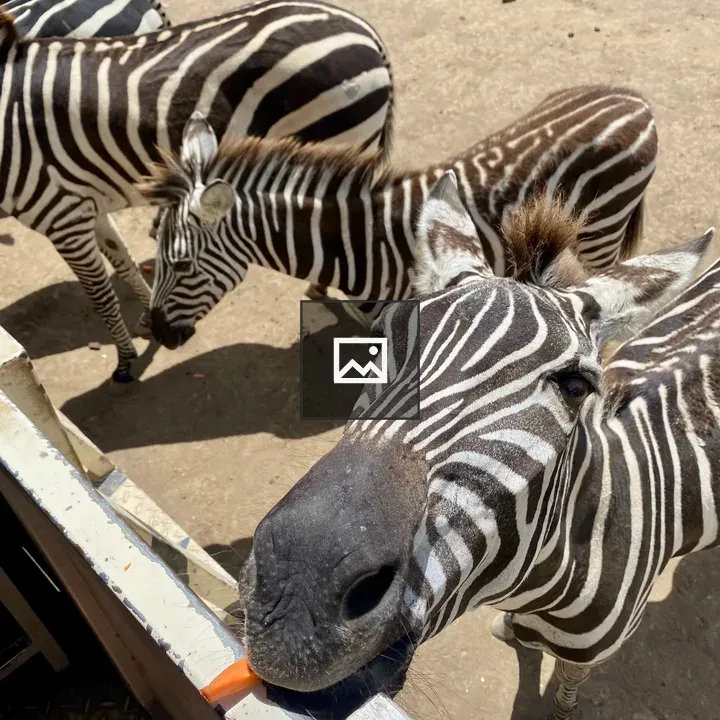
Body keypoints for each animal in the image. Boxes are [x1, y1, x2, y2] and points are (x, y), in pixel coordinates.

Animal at [0, 2, 393, 382]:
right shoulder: (83, 204)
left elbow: (100, 297)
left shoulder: (59, 214)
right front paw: (147, 318)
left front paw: (125, 360)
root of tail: (367, 33)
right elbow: (124, 261)